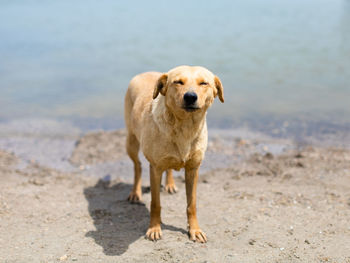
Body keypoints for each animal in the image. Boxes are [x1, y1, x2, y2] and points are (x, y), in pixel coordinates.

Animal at [124, 65, 224, 243]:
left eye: (203, 83)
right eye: (178, 82)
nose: (190, 97)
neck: (185, 127)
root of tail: (145, 72)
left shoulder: (193, 169)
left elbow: (192, 204)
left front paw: (195, 230)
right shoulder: (155, 169)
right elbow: (155, 204)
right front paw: (154, 229)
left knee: (169, 167)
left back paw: (170, 184)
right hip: (131, 141)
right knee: (138, 165)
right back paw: (135, 193)